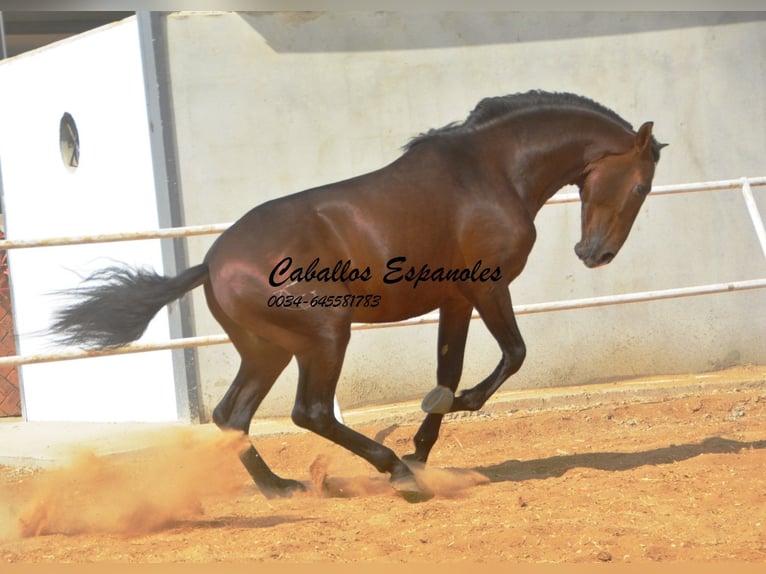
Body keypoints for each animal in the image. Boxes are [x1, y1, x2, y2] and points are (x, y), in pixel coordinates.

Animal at [52, 91, 664, 504]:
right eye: (640, 184)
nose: (595, 254)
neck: (492, 172)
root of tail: (212, 262)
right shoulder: (487, 287)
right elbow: (511, 356)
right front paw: (433, 434)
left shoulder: (456, 300)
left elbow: (448, 371)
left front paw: (423, 443)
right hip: (325, 335)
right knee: (311, 411)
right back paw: (393, 474)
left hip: (269, 349)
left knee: (232, 415)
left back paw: (283, 488)